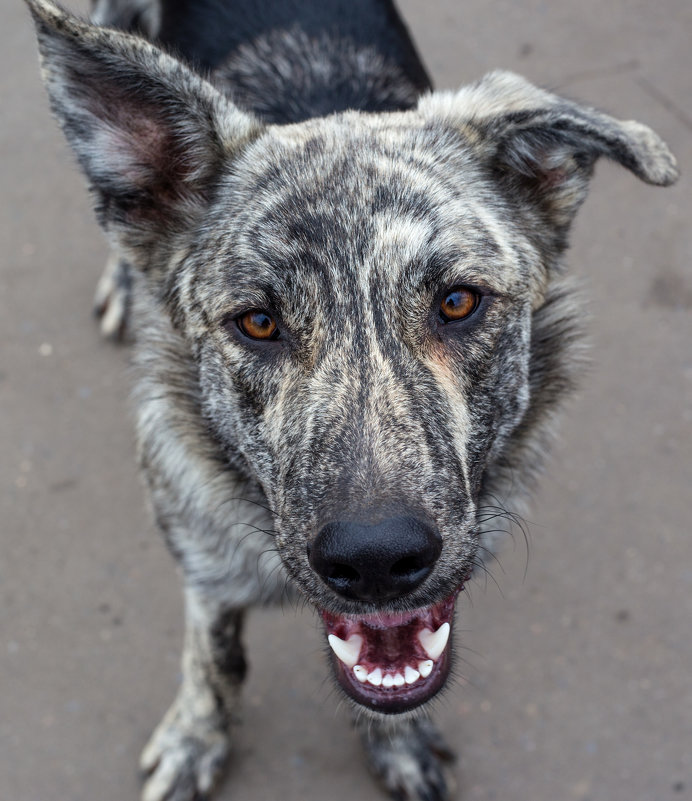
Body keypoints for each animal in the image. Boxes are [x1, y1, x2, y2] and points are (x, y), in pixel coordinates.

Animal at [25, 1, 676, 800]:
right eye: (258, 322)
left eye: (458, 302)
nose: (375, 560)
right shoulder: (202, 555)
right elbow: (214, 656)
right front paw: (196, 737)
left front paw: (394, 741)